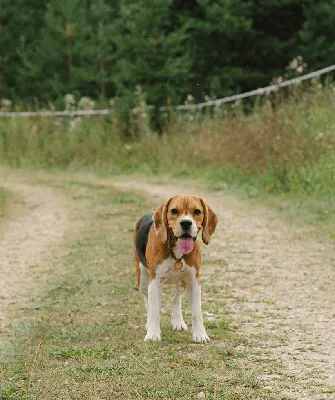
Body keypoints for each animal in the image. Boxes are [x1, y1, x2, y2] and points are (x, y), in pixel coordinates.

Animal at [133, 195, 219, 342]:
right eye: (174, 211)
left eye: (197, 211)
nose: (186, 223)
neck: (176, 251)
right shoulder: (154, 281)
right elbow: (154, 309)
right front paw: (153, 334)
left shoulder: (194, 281)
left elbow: (197, 312)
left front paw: (200, 335)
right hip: (143, 279)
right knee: (148, 301)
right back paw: (149, 324)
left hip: (181, 281)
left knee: (175, 298)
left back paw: (178, 322)